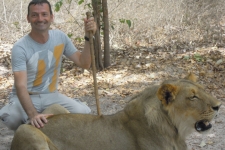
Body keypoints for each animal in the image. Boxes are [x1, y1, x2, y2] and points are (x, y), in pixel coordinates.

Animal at [10, 73, 220, 150]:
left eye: (203, 90)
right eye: (193, 97)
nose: (219, 106)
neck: (174, 131)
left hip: (55, 109)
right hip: (26, 131)